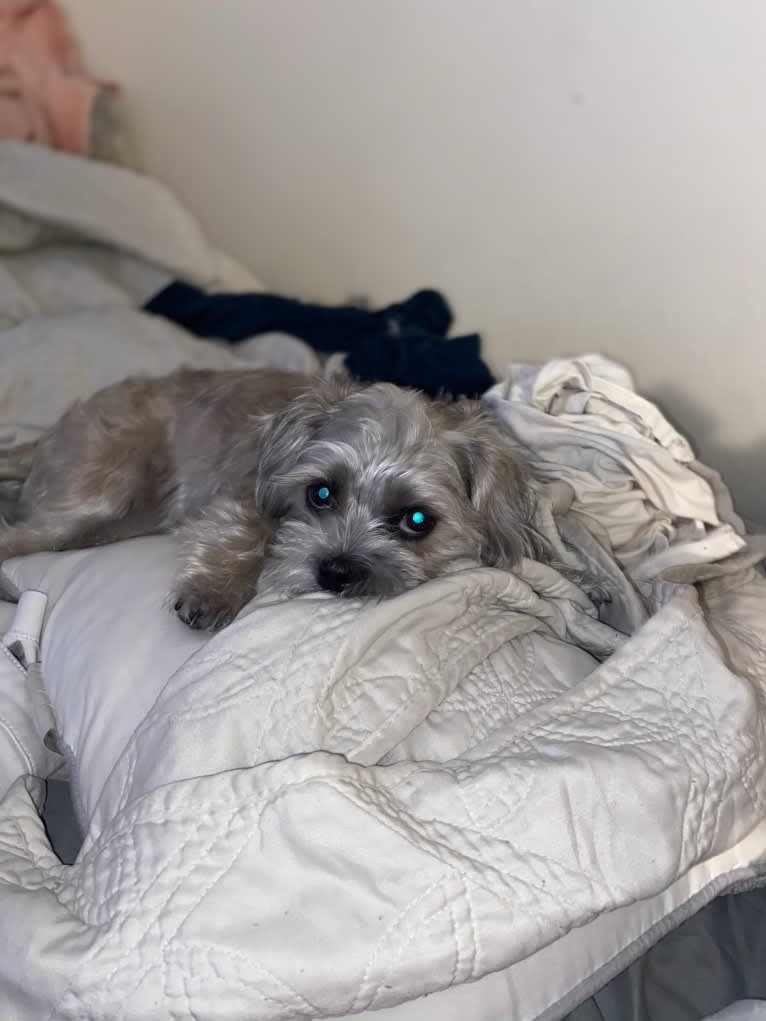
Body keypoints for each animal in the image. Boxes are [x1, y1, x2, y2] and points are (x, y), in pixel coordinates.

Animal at [0, 367, 543, 628]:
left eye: (416, 520)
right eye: (320, 493)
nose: (336, 572)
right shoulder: (241, 497)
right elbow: (244, 529)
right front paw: (214, 590)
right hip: (100, 492)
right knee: (22, 534)